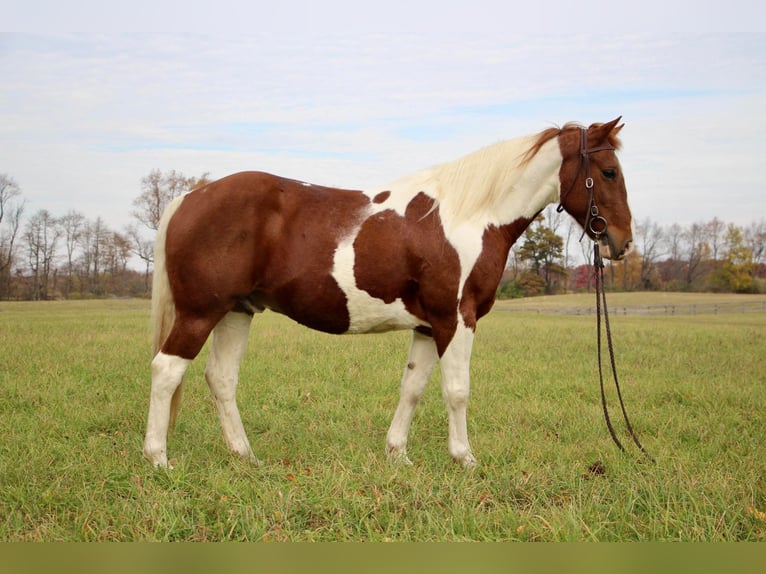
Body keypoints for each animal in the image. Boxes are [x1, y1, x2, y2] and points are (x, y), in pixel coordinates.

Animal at [144, 116, 636, 468]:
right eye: (609, 171)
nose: (622, 242)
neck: (468, 215)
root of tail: (189, 198)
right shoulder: (456, 318)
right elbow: (457, 390)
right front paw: (466, 459)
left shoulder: (428, 325)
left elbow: (413, 387)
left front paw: (398, 454)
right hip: (199, 313)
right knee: (167, 371)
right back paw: (158, 460)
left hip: (236, 312)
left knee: (221, 379)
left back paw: (245, 457)